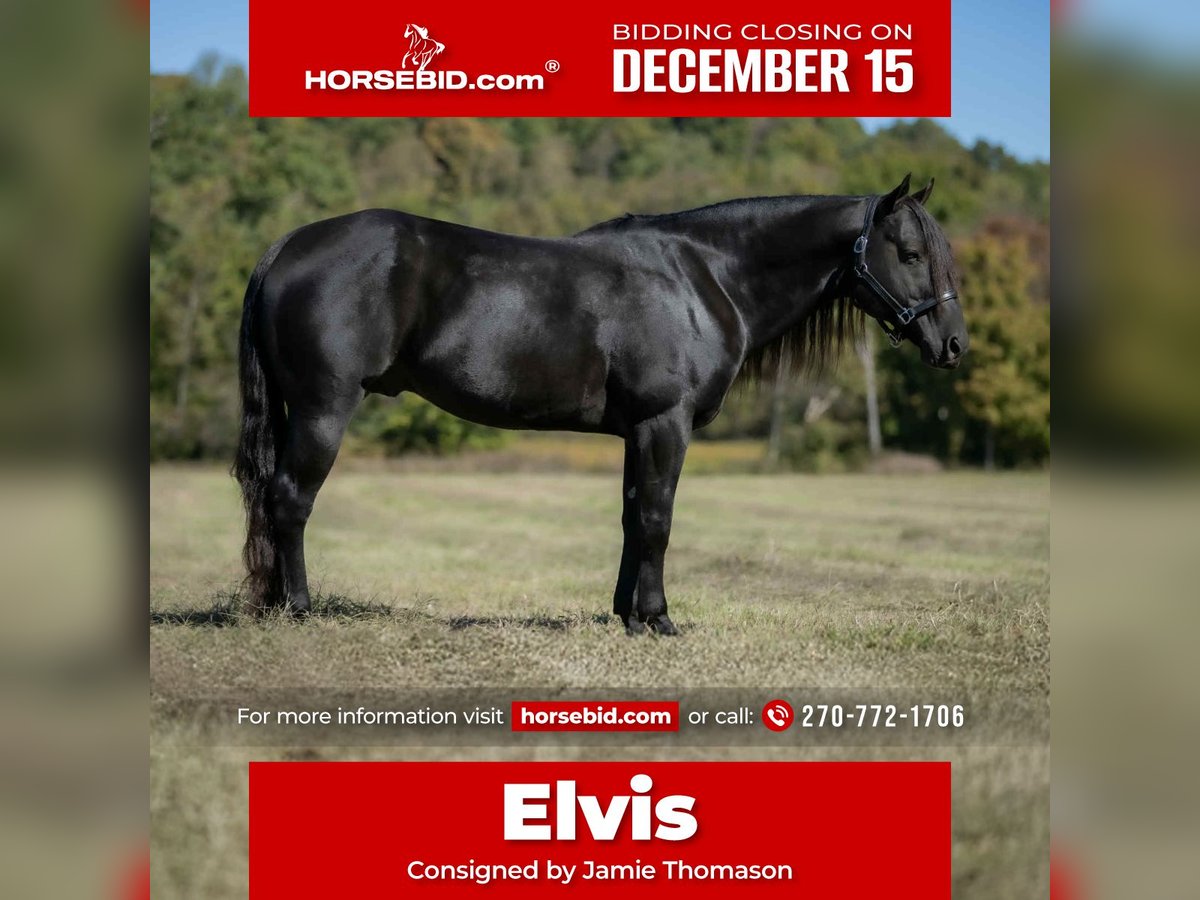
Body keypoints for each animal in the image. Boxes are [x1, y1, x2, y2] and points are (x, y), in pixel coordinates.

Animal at [232, 174, 967, 634]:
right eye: (908, 252)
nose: (954, 344)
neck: (702, 279)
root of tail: (287, 246)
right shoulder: (665, 423)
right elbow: (658, 520)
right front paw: (660, 619)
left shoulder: (638, 431)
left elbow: (632, 517)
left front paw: (627, 614)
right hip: (324, 409)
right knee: (290, 499)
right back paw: (297, 608)